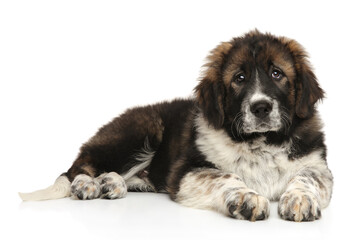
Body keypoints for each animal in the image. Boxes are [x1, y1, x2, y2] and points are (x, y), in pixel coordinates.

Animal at [20, 31, 334, 222]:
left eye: (277, 73)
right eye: (240, 78)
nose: (260, 107)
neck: (261, 140)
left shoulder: (318, 166)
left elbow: (307, 177)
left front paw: (299, 199)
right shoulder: (187, 170)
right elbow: (225, 176)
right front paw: (246, 197)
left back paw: (112, 183)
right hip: (141, 130)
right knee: (75, 168)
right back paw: (87, 184)